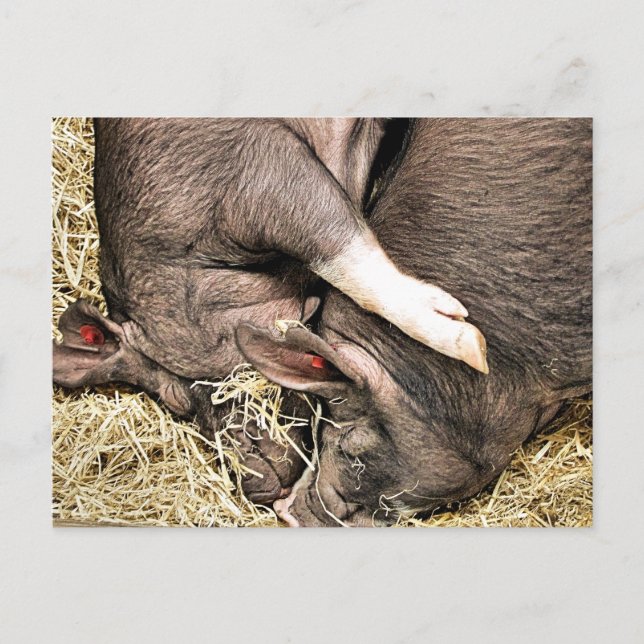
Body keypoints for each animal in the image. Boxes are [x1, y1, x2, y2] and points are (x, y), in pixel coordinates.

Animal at [53, 118, 484, 505]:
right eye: (177, 408)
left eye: (178, 397)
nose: (253, 488)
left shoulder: (257, 175)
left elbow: (343, 251)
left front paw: (471, 345)